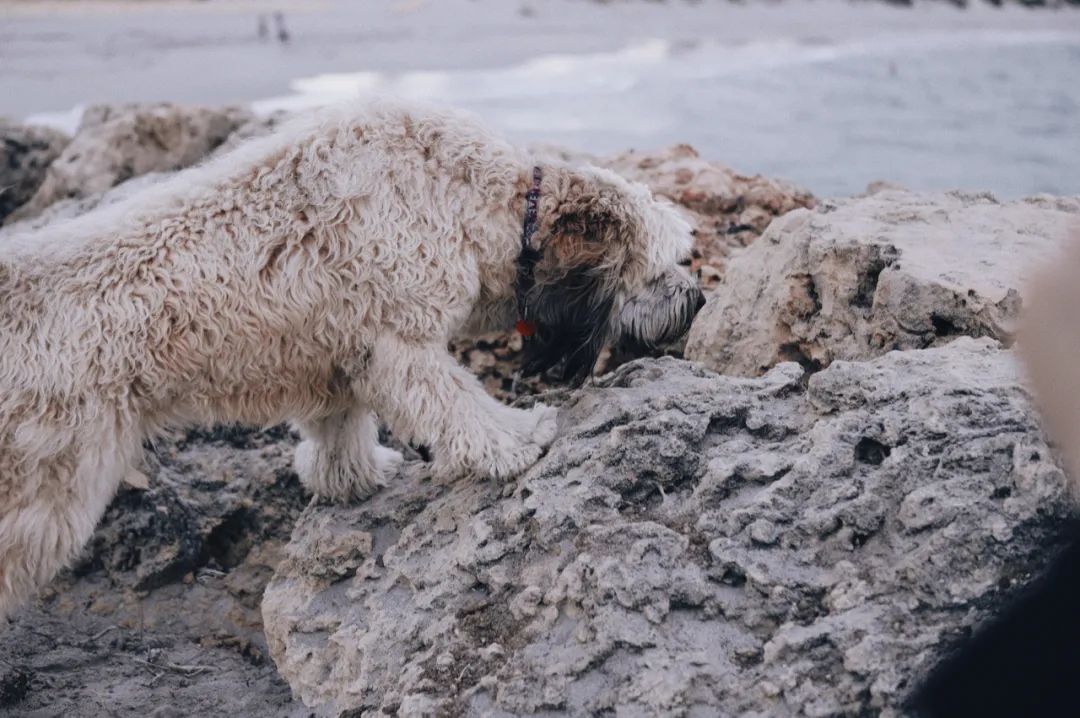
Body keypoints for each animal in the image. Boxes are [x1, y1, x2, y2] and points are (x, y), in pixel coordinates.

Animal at [0, 98, 699, 617]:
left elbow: (340, 424)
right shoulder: (402, 340)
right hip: (47, 486)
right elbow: (455, 403)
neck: (476, 201)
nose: (697, 298)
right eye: (665, 265)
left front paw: (349, 477)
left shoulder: (340, 350)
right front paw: (515, 439)